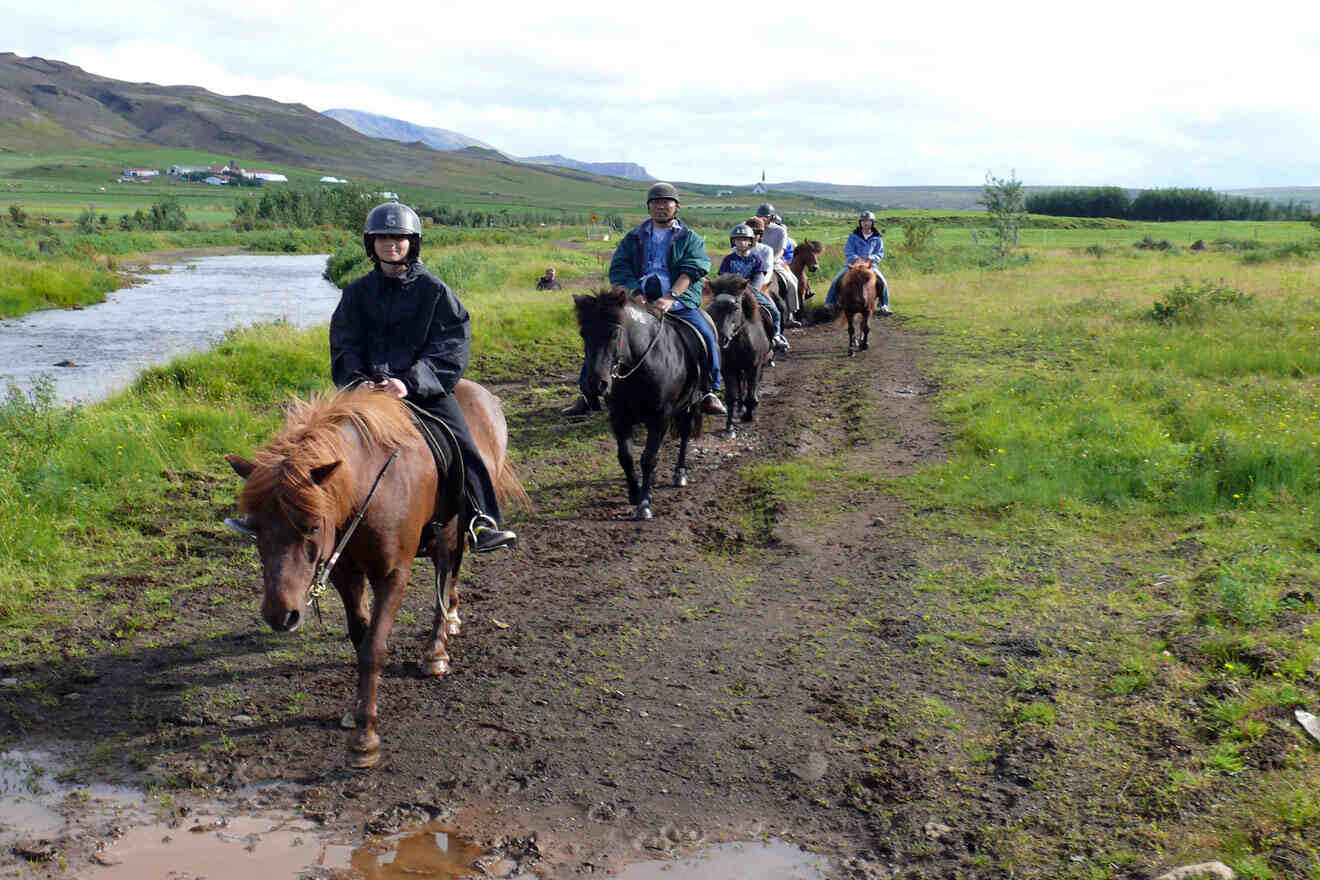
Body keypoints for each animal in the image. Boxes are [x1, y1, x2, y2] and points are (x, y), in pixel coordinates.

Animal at [229, 382, 528, 765]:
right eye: (255, 528)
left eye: (312, 526)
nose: (280, 615)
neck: (369, 489)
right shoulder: (345, 574)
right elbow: (360, 638)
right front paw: (357, 710)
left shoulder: (392, 574)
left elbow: (374, 648)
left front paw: (365, 739)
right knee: (450, 580)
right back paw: (453, 620)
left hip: (452, 530)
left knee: (445, 576)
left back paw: (436, 650)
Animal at [575, 288, 707, 519]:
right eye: (584, 334)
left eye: (614, 333)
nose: (596, 384)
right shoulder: (619, 417)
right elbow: (626, 457)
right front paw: (635, 493)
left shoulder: (660, 418)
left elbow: (648, 459)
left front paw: (644, 503)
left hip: (690, 404)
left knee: (684, 434)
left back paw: (680, 473)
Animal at [712, 277, 770, 435]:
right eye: (715, 307)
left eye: (736, 308)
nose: (722, 338)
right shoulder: (728, 369)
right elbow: (731, 397)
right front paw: (729, 425)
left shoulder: (754, 367)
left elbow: (751, 393)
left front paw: (749, 415)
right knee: (740, 385)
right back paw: (740, 407)